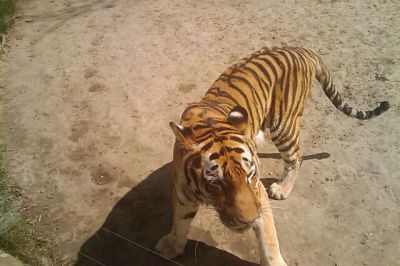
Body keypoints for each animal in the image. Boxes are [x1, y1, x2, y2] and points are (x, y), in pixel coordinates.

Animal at [155, 46, 390, 264]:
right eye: (216, 183)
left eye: (250, 175)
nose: (249, 220)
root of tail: (302, 49)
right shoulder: (182, 191)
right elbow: (180, 220)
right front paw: (172, 245)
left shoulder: (258, 194)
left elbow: (269, 239)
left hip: (283, 125)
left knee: (296, 157)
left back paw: (283, 188)